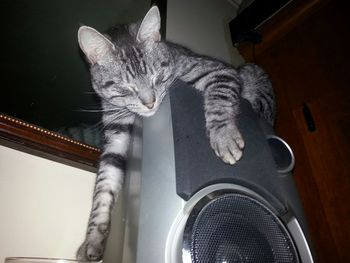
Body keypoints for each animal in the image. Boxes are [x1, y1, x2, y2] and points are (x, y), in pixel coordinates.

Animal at [75, 5, 274, 260]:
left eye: (156, 77)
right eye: (125, 87)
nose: (150, 103)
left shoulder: (219, 70)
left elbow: (219, 100)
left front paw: (224, 137)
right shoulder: (115, 136)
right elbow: (103, 187)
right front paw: (92, 240)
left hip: (251, 74)